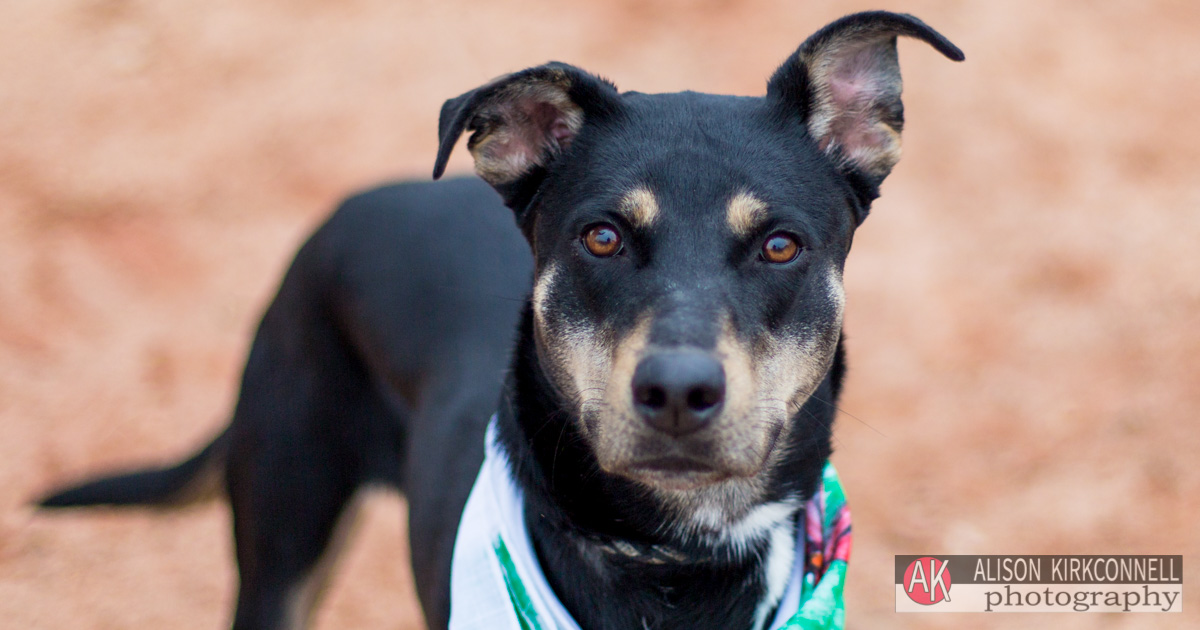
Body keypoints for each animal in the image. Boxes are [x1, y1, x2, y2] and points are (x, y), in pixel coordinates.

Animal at [39, 11, 964, 628]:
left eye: (779, 246)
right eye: (602, 236)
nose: (676, 392)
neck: (676, 561)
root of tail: (344, 213)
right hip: (283, 541)